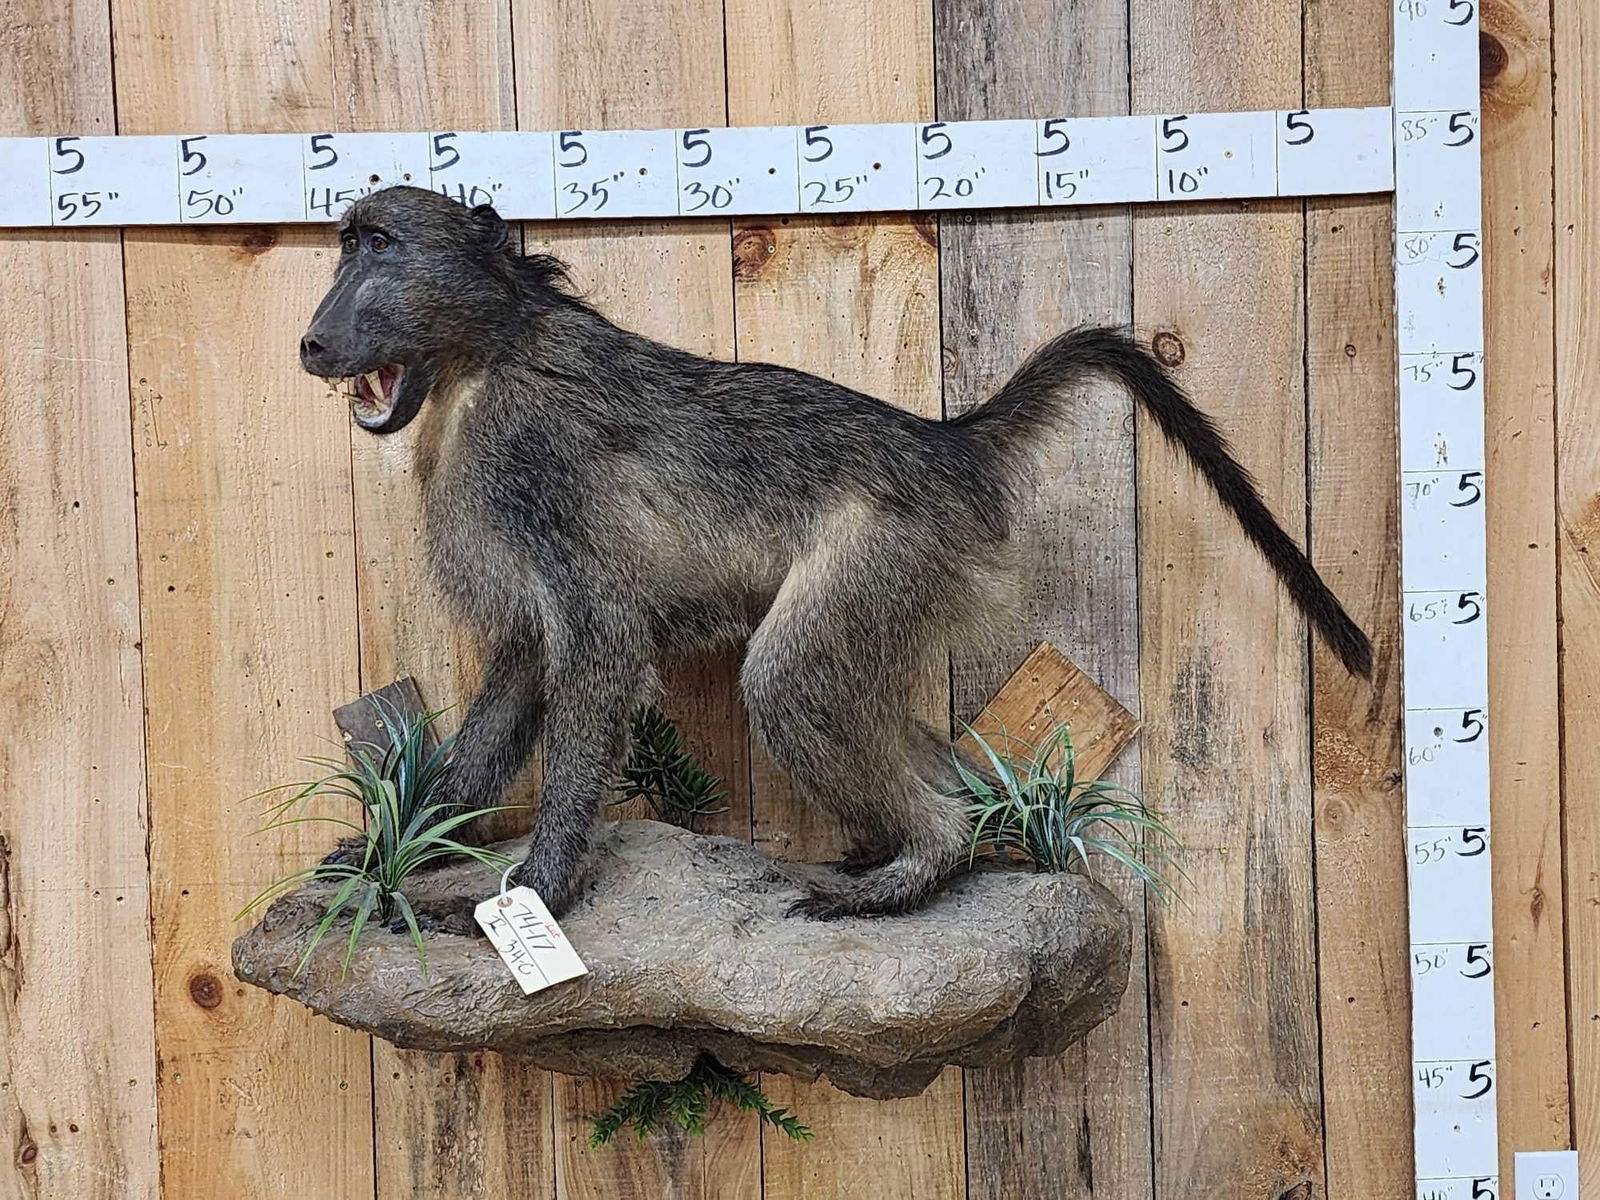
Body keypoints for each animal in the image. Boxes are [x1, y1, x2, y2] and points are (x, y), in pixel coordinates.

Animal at [298, 186, 1371, 921]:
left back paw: (916, 866)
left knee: (787, 678)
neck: (482, 358)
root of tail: (941, 443)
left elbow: (598, 656)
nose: (312, 340)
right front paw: (392, 852)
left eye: (380, 247)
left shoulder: (538, 462)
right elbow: (523, 673)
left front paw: (542, 892)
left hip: (887, 551)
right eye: (346, 246)